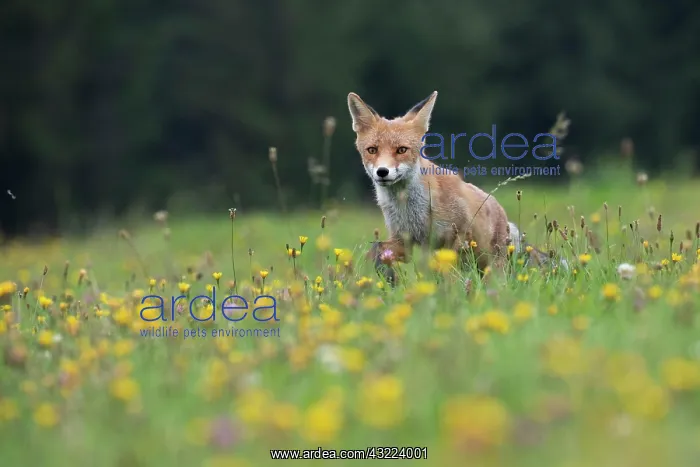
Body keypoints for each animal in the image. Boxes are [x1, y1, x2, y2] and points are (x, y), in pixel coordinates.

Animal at [347, 90, 551, 281]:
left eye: (401, 150)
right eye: (372, 150)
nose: (382, 172)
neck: (411, 211)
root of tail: (503, 215)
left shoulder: (456, 235)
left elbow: (448, 274)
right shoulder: (403, 240)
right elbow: (378, 249)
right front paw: (387, 276)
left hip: (492, 266)